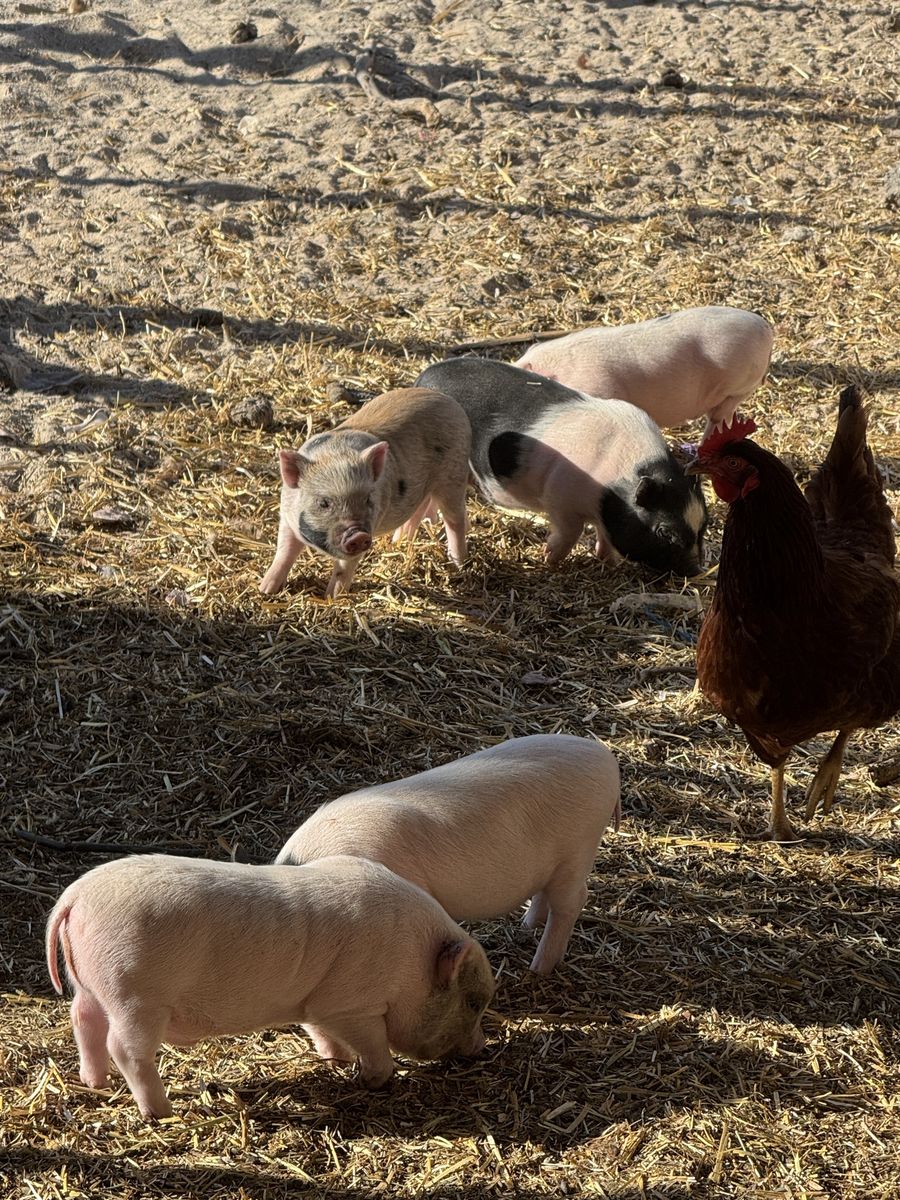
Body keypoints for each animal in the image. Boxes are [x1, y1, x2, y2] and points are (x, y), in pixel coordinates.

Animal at [46, 853, 494, 1120]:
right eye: (474, 1002)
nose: (480, 1048)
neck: (412, 962)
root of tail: (75, 897)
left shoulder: (314, 1000)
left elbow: (318, 1030)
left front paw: (335, 1061)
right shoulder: (351, 1004)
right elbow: (373, 1046)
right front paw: (372, 1079)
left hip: (93, 986)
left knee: (82, 1019)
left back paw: (95, 1083)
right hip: (135, 996)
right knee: (124, 1048)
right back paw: (162, 1111)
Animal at [259, 387, 471, 598]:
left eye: (368, 499)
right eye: (323, 503)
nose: (358, 535)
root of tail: (447, 400)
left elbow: (344, 568)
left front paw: (332, 598)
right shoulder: (287, 516)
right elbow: (285, 551)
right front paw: (265, 590)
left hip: (453, 475)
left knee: (455, 520)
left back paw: (458, 564)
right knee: (420, 508)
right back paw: (398, 542)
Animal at [414, 358, 707, 575]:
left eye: (704, 524)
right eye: (665, 532)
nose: (696, 571)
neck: (612, 485)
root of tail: (423, 377)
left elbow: (606, 537)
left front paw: (609, 562)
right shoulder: (560, 498)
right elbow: (570, 534)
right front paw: (549, 559)